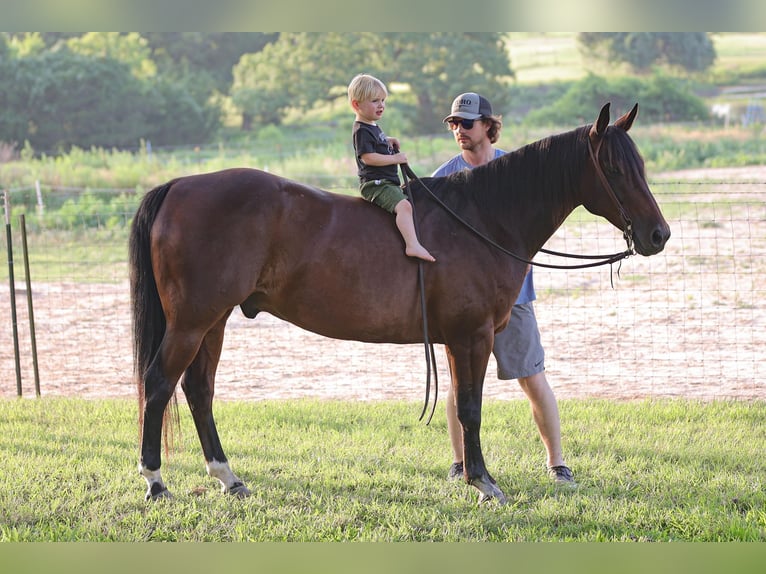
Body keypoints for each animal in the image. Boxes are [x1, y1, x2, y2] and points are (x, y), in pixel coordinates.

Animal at [132, 102, 672, 504]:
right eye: (615, 168)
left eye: (642, 165)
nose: (658, 235)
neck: (482, 219)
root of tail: (178, 185)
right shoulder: (472, 336)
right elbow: (471, 409)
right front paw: (484, 483)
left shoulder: (457, 340)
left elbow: (463, 408)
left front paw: (472, 476)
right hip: (192, 322)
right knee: (159, 384)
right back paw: (156, 481)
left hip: (213, 322)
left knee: (199, 390)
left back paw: (228, 477)